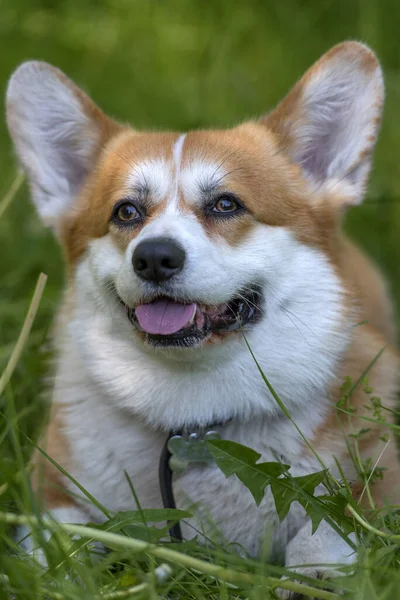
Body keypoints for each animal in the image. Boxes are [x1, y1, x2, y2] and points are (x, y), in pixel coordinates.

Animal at [6, 39, 400, 584]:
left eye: (226, 204)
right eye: (126, 212)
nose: (155, 257)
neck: (193, 418)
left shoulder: (374, 491)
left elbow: (324, 532)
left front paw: (309, 579)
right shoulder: (54, 496)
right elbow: (55, 557)